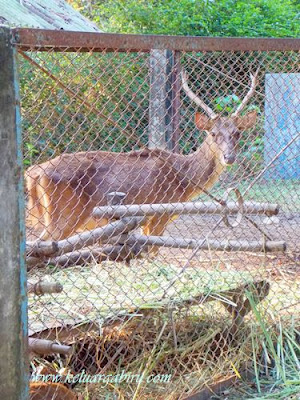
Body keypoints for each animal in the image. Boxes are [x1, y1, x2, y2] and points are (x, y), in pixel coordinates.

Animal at [25, 70, 258, 248]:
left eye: (237, 133)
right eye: (213, 133)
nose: (229, 156)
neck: (184, 183)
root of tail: (34, 173)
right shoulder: (158, 215)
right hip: (64, 216)